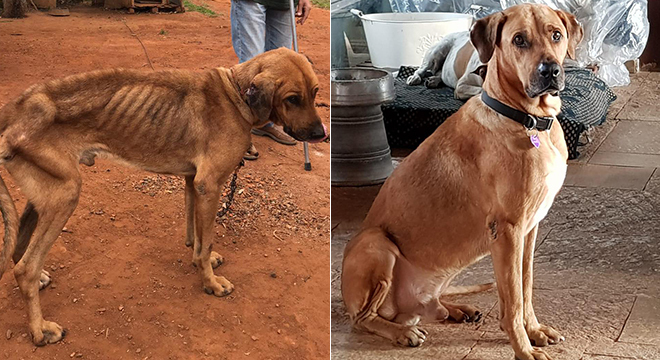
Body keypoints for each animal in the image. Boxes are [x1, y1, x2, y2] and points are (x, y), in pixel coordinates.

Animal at [0, 47, 328, 346]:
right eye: (292, 99)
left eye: (315, 93)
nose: (320, 135)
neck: (235, 96)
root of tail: (16, 107)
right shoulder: (210, 185)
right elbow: (206, 240)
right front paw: (211, 283)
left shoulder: (193, 182)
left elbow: (198, 237)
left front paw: (202, 261)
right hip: (65, 194)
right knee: (24, 269)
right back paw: (40, 330)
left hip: (47, 194)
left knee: (21, 246)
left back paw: (41, 281)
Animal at [340, 4, 584, 360]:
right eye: (519, 40)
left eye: (556, 34)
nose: (550, 70)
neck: (526, 119)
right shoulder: (508, 231)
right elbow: (513, 299)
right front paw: (523, 348)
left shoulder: (530, 228)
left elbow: (525, 287)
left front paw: (534, 331)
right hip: (376, 244)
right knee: (362, 319)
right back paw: (401, 332)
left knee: (434, 307)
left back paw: (456, 309)